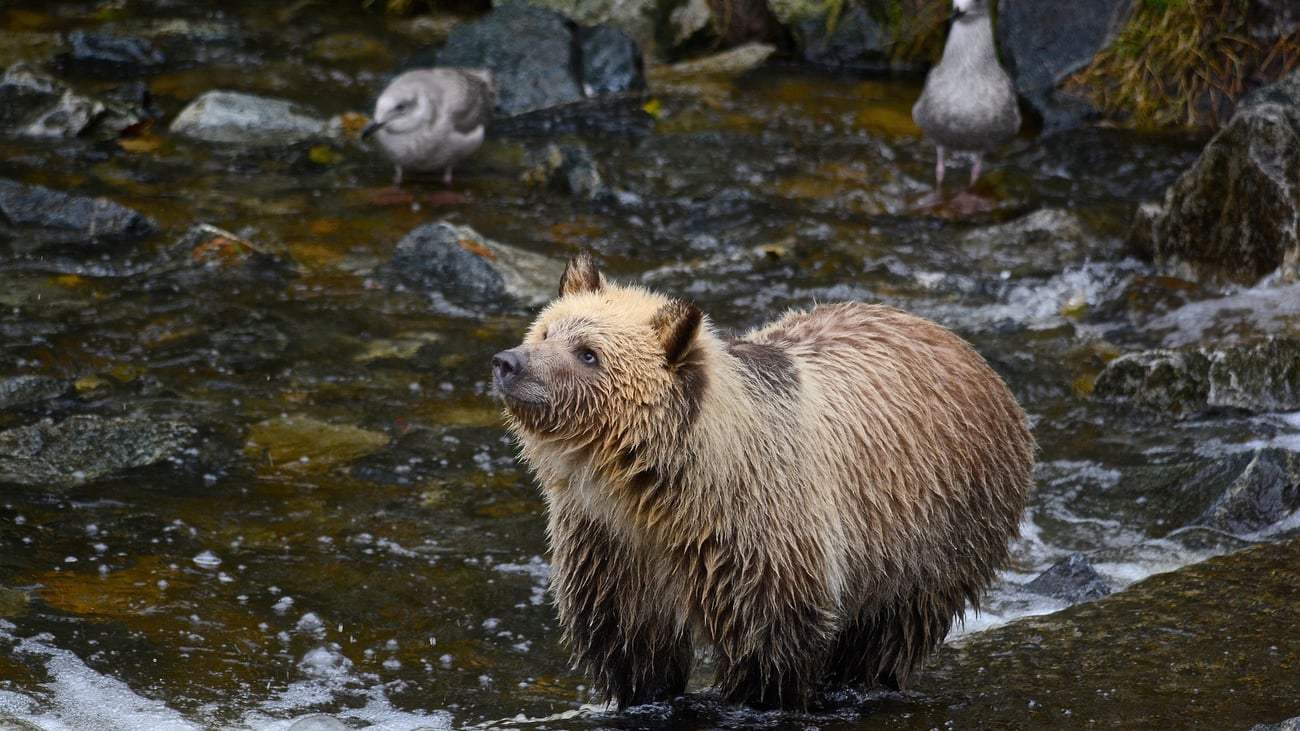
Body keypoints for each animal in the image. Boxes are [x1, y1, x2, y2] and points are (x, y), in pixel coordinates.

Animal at [491, 253, 1034, 709]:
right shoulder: (611, 545)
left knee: (891, 628)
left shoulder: (760, 535)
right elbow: (632, 642)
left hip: (935, 527)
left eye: (588, 353)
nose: (508, 363)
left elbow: (770, 645)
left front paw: (756, 700)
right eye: (545, 330)